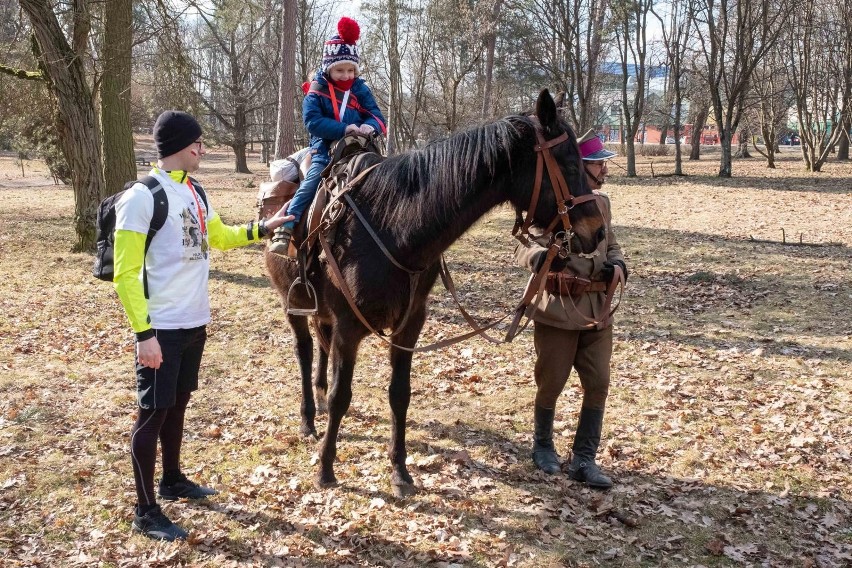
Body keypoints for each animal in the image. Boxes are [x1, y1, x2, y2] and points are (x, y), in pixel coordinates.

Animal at [266, 90, 604, 496]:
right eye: (568, 163)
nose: (597, 231)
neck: (392, 225)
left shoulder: (409, 325)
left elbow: (399, 394)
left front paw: (400, 470)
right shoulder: (349, 326)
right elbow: (340, 396)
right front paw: (326, 469)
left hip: (323, 315)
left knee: (320, 347)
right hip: (293, 306)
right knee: (303, 353)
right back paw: (307, 420)